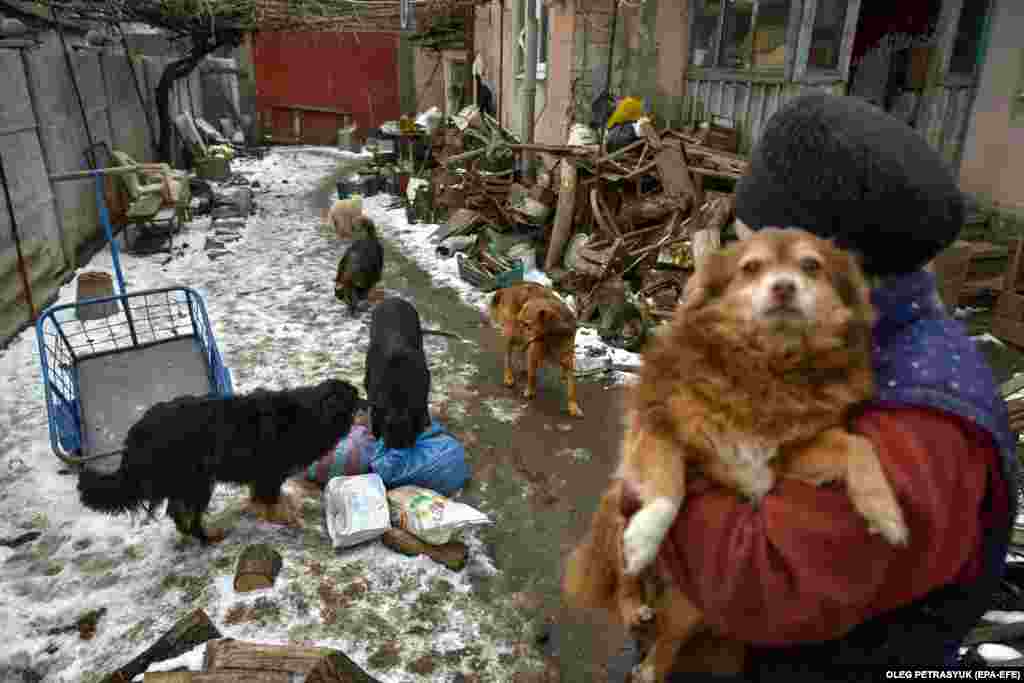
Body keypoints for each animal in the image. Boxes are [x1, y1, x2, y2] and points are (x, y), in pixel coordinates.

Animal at [76, 378, 364, 544]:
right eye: (355, 397)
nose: (369, 402)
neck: (311, 413)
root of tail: (137, 433)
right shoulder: (269, 474)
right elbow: (272, 502)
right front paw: (283, 519)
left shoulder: (262, 476)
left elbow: (262, 498)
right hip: (199, 481)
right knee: (188, 516)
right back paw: (207, 538)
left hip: (187, 481)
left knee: (177, 513)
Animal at [489, 282, 585, 419]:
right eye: (523, 322)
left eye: (527, 324)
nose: (518, 323)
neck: (554, 336)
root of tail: (509, 288)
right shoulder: (534, 352)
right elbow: (532, 374)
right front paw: (529, 391)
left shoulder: (567, 360)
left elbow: (572, 389)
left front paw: (574, 408)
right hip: (513, 337)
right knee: (508, 356)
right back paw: (509, 377)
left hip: (521, 339)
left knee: (521, 353)